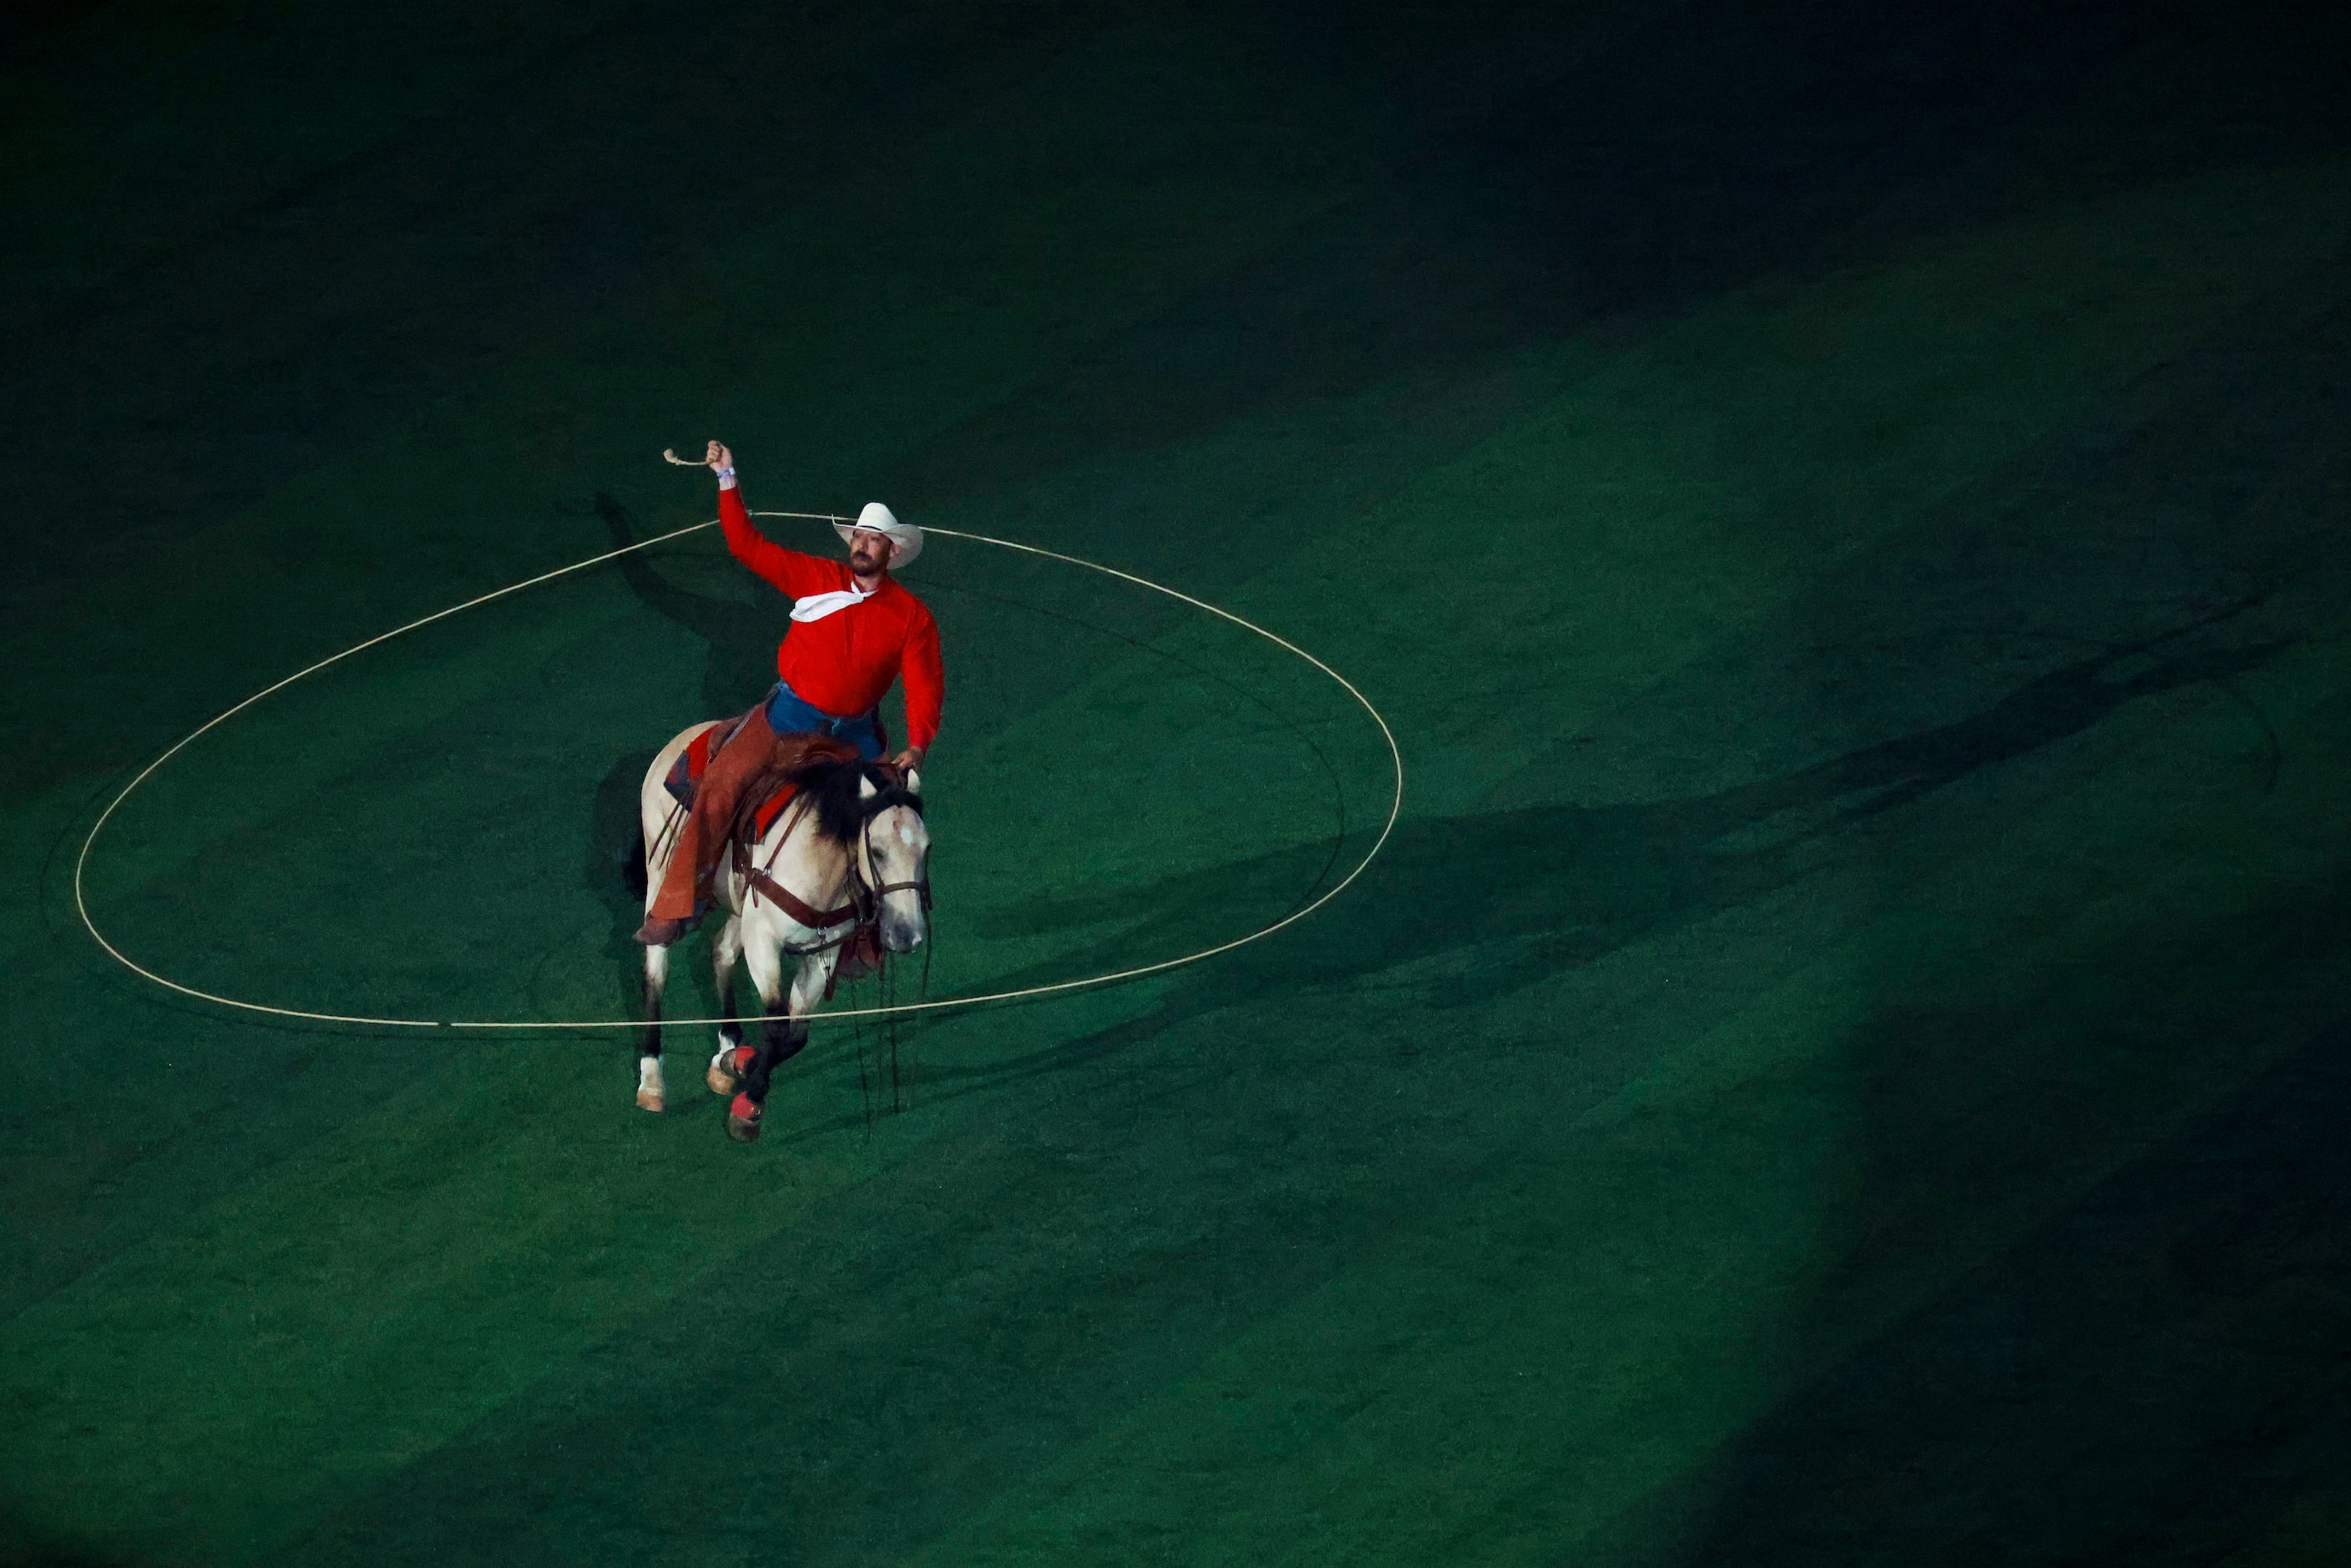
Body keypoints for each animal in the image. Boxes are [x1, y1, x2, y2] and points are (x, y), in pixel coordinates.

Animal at [629, 719, 931, 1142]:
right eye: (878, 851)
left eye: (927, 848)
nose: (908, 936)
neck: (820, 862)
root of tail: (684, 738)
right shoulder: (764, 940)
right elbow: (775, 1025)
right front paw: (748, 1104)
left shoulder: (822, 952)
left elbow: (795, 1033)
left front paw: (737, 1063)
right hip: (661, 875)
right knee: (656, 969)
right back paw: (652, 1079)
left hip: (740, 904)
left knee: (721, 952)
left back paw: (726, 1048)